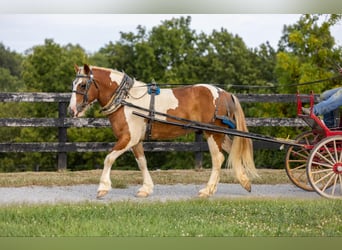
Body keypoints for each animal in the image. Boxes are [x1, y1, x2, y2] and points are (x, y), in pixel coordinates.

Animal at [67, 64, 256, 199]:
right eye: (73, 84)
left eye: (83, 85)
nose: (71, 110)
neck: (126, 99)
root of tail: (224, 93)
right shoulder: (136, 140)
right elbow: (142, 162)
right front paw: (146, 189)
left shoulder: (128, 138)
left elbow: (109, 158)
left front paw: (103, 188)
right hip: (219, 134)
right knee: (232, 152)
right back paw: (244, 182)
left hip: (213, 133)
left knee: (218, 159)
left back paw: (207, 190)